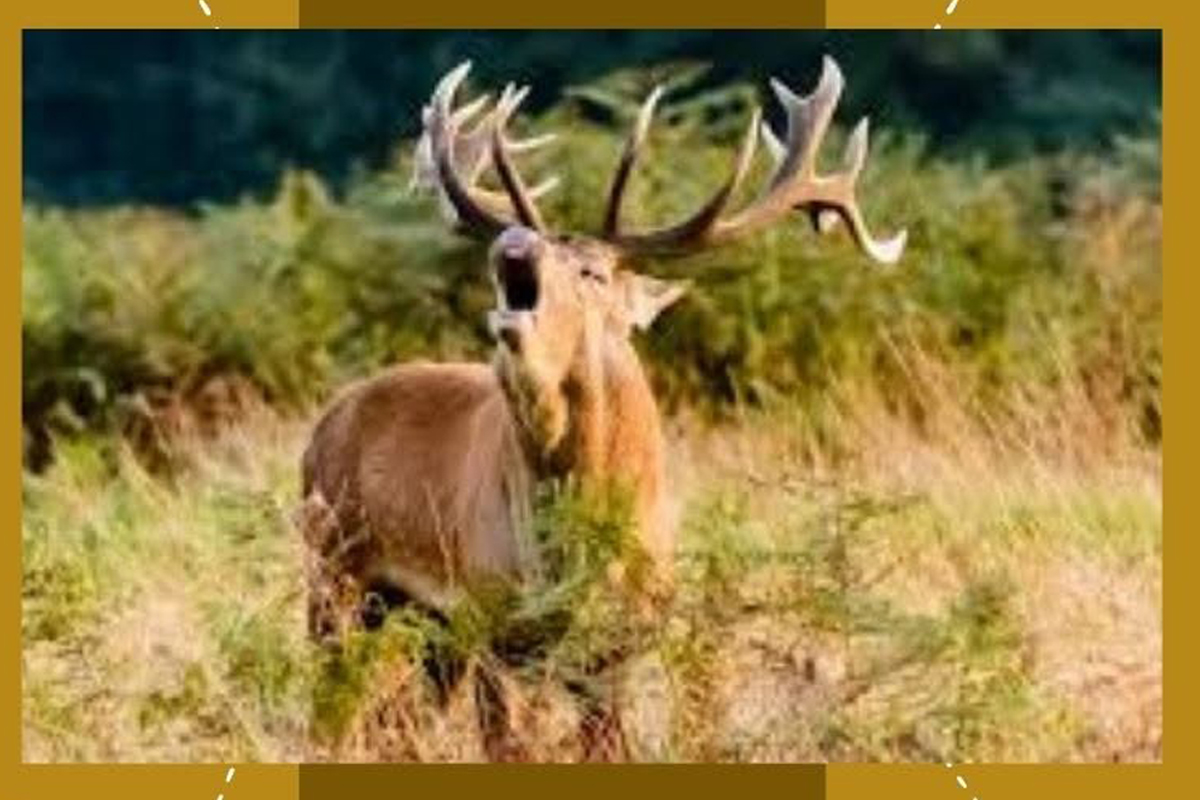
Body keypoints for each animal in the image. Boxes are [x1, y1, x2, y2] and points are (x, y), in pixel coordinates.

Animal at [299, 55, 905, 758]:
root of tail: (324, 423)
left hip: (418, 619)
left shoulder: (622, 637)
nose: (513, 242)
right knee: (338, 706)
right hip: (333, 572)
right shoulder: (491, 611)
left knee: (393, 719)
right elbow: (506, 745)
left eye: (591, 272)